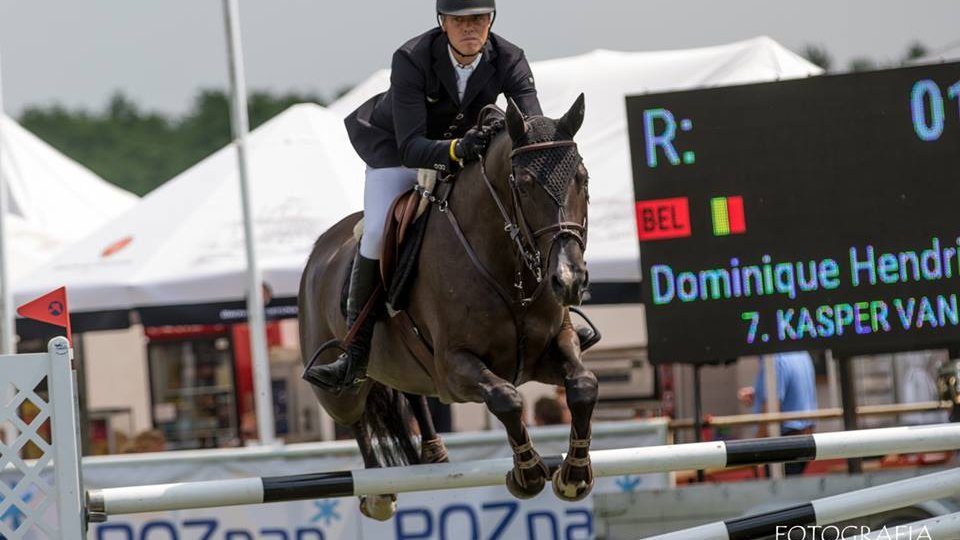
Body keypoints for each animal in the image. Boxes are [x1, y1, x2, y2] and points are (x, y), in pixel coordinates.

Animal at [298, 96, 600, 520]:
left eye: (582, 179)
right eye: (524, 186)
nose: (568, 279)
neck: (506, 263)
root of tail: (318, 251)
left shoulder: (550, 349)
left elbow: (584, 385)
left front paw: (574, 474)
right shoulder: (454, 368)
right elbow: (506, 398)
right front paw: (527, 473)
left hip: (405, 368)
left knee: (409, 393)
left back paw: (433, 451)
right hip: (338, 390)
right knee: (355, 412)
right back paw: (377, 493)